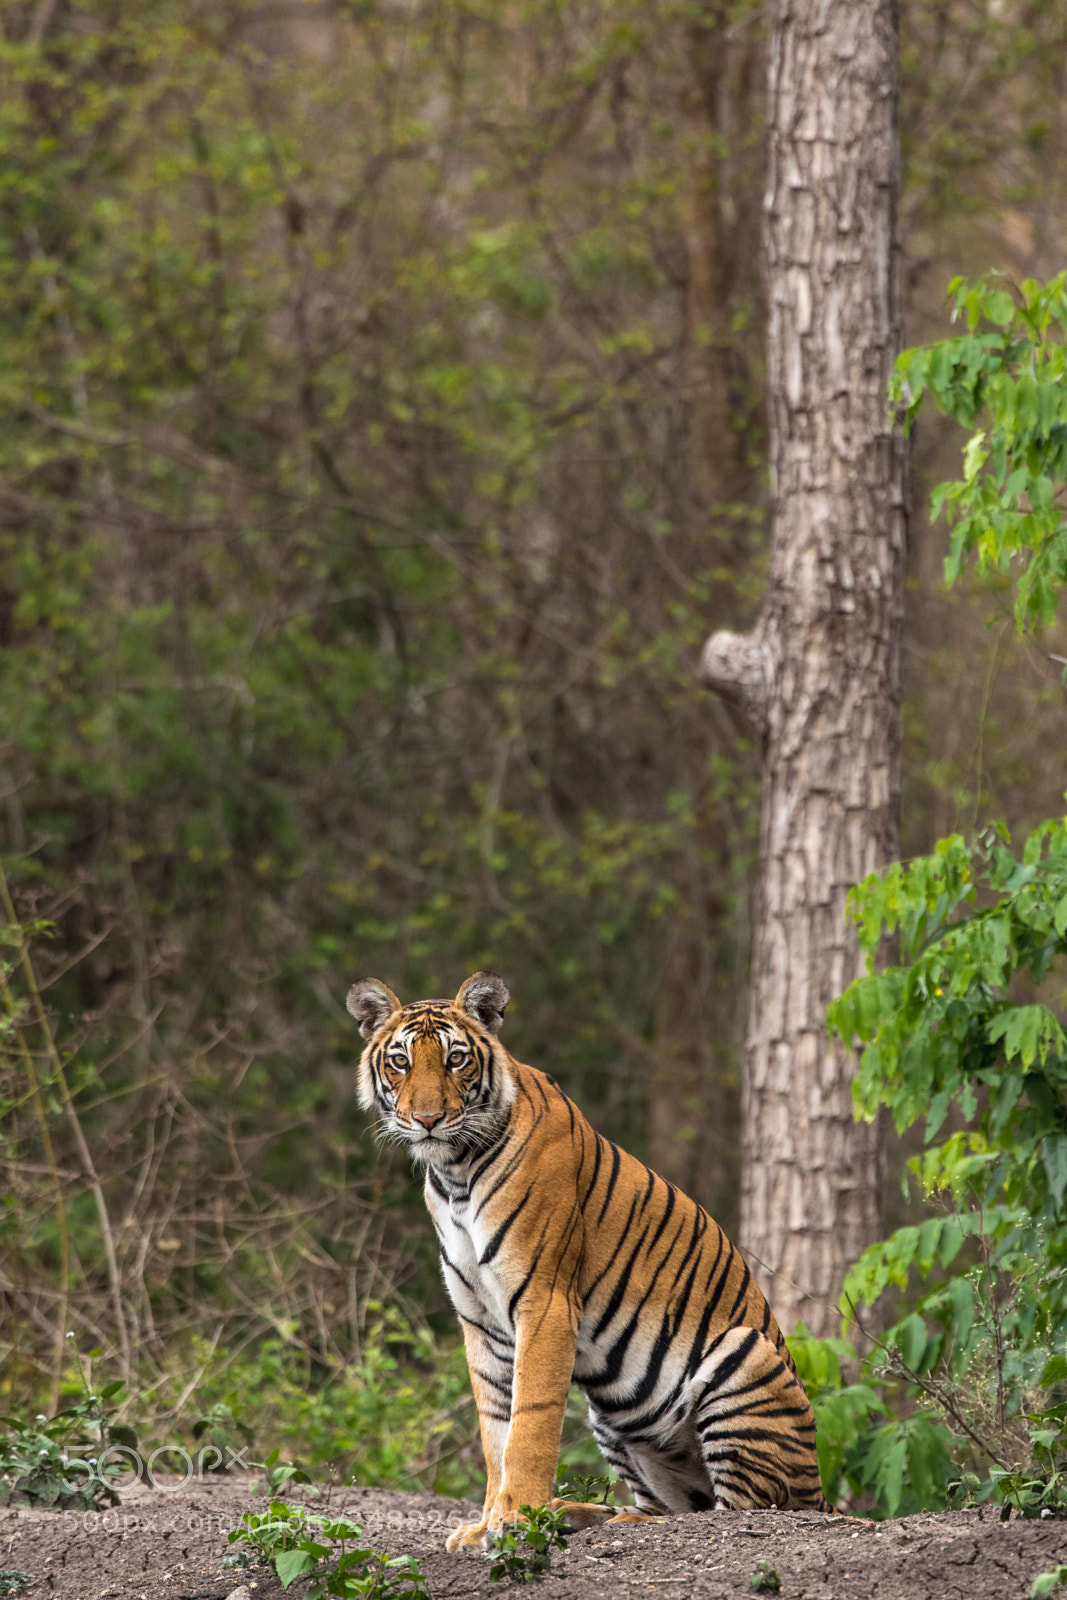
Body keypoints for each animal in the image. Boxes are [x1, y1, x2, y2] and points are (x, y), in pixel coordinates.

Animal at [347, 969, 833, 1550]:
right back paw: (575, 1514)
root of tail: (821, 1489)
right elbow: (494, 1429)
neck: (455, 1172)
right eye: (400, 1061)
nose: (427, 1119)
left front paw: (515, 1518)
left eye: (456, 1059)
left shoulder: (544, 1302)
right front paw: (486, 1524)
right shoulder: (480, 1319)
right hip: (615, 1417)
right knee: (675, 1507)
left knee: (732, 1510)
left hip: (744, 1355)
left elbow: (529, 1421)